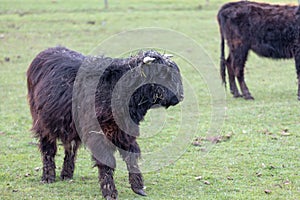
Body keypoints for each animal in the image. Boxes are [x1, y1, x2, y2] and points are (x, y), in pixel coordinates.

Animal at [27, 46, 183, 198]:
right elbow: (106, 161)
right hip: (43, 123)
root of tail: (48, 51)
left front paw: (138, 187)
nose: (180, 96)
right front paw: (109, 191)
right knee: (48, 149)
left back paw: (66, 174)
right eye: (162, 74)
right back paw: (48, 177)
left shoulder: (125, 132)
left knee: (70, 147)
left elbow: (131, 156)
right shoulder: (100, 135)